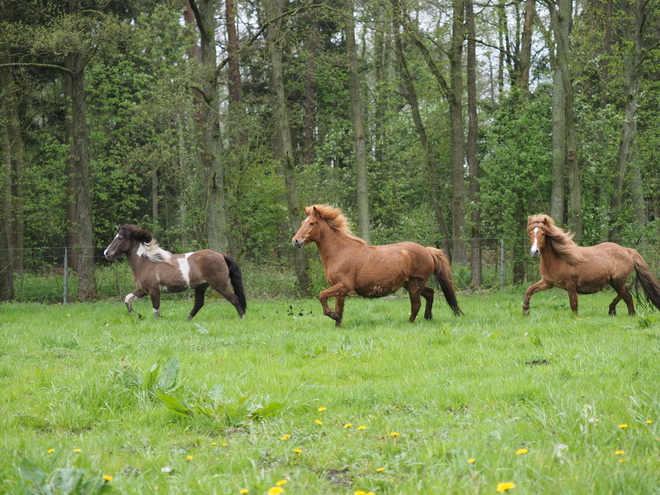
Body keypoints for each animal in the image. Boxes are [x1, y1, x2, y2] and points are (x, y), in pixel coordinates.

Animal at [104, 226, 246, 322]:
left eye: (120, 238)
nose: (106, 253)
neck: (146, 262)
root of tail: (221, 255)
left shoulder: (154, 290)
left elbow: (156, 309)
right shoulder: (143, 289)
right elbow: (127, 298)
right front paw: (136, 314)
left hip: (219, 285)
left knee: (235, 299)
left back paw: (242, 318)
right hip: (201, 286)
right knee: (198, 304)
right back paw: (186, 320)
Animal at [292, 203, 462, 328]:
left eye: (312, 223)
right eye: (302, 223)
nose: (296, 241)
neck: (339, 252)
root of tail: (427, 250)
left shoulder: (344, 286)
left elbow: (321, 296)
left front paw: (333, 315)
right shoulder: (339, 289)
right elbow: (338, 309)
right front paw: (337, 322)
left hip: (415, 283)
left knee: (416, 305)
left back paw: (409, 323)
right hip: (410, 283)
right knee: (430, 293)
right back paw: (428, 317)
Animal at [520, 214, 660, 316]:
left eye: (543, 233)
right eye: (531, 233)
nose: (534, 251)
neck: (559, 258)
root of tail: (627, 250)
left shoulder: (570, 285)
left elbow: (574, 305)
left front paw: (575, 318)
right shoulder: (547, 283)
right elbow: (529, 290)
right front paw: (526, 310)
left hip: (617, 281)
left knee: (626, 294)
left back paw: (613, 309)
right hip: (615, 282)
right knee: (627, 296)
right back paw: (625, 313)